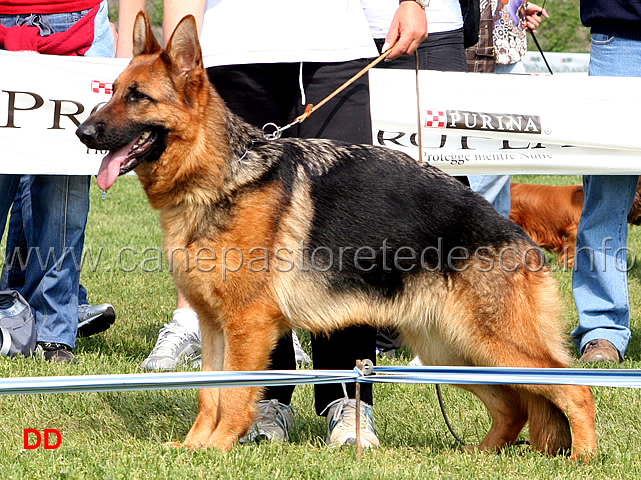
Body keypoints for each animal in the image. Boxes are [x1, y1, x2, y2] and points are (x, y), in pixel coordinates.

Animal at [76, 13, 596, 460]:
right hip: (451, 350)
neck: (221, 178)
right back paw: (480, 455)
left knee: (574, 388)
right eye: (113, 92)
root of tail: (516, 236)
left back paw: (583, 458)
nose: (83, 132)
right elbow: (208, 393)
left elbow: (235, 394)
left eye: (137, 97)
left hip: (491, 343)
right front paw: (193, 447)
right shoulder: (213, 326)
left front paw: (217, 448)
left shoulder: (248, 327)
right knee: (514, 407)